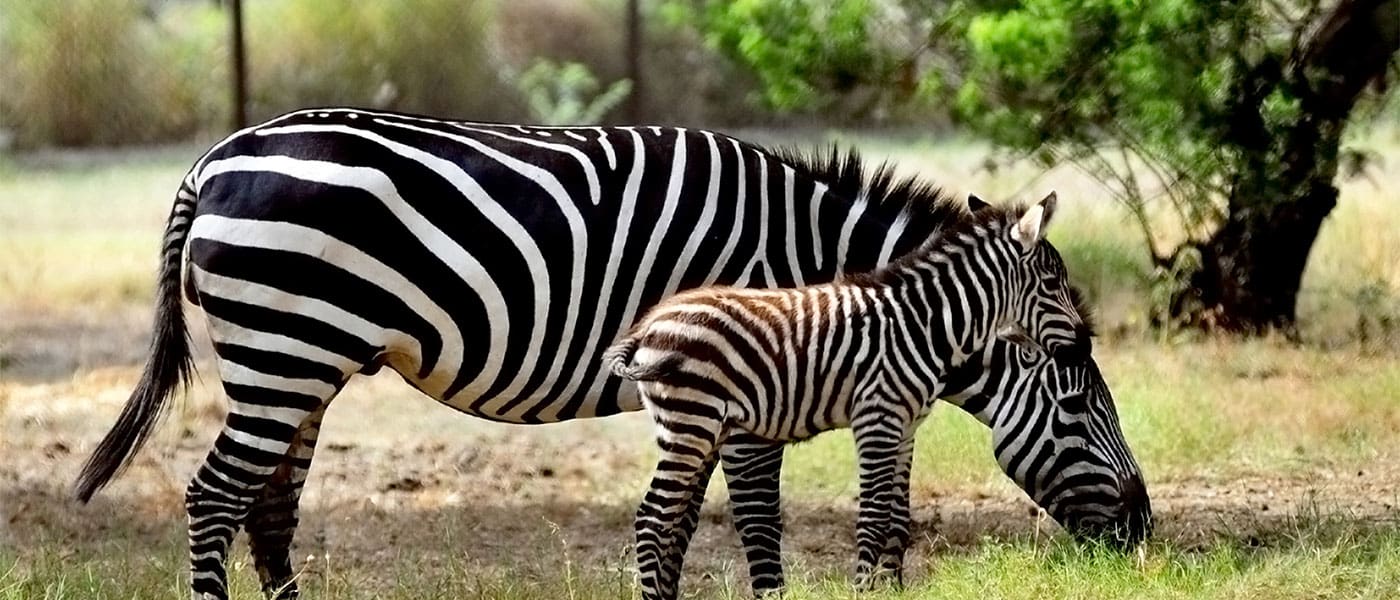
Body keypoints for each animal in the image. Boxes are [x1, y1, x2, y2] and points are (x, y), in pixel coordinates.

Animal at [607, 193, 1097, 593]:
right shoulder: (878, 417)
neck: (927, 323)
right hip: (690, 423)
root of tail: (650, 324)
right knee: (652, 519)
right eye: (1052, 285)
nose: (1084, 345)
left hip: (692, 427)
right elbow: (873, 517)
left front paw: (886, 586)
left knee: (666, 520)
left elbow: (897, 517)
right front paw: (863, 589)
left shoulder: (906, 423)